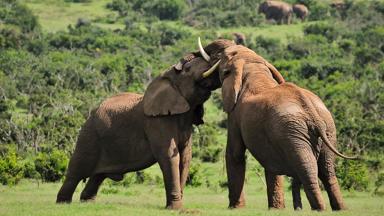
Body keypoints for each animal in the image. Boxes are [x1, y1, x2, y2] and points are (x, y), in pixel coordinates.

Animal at [56, 48, 226, 209]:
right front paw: (175, 209)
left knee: (97, 176)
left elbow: (185, 157)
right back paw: (63, 203)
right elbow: (169, 156)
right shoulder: (156, 122)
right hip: (89, 135)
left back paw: (87, 203)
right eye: (188, 69)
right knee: (75, 172)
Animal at [198, 39, 356, 211]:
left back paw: (319, 209)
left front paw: (236, 208)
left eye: (224, 55)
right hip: (327, 129)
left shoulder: (234, 115)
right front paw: (276, 209)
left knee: (308, 173)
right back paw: (339, 209)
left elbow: (235, 154)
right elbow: (271, 163)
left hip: (293, 134)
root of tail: (311, 112)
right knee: (327, 172)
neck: (253, 68)